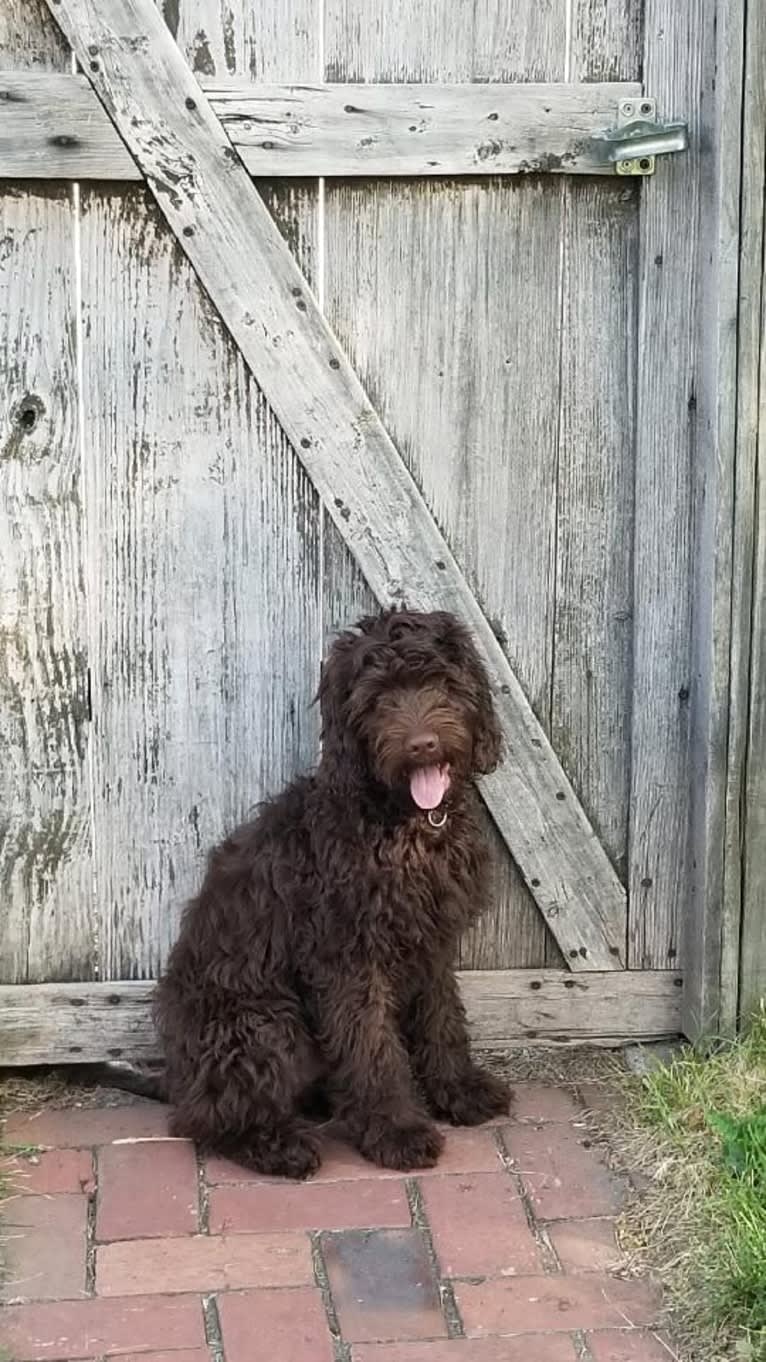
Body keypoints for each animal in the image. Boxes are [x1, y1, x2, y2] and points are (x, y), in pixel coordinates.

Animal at [151, 604, 509, 1171]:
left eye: (438, 681)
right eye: (378, 697)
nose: (422, 745)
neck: (401, 822)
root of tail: (176, 1077)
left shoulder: (432, 944)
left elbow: (442, 1019)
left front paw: (460, 1092)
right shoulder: (349, 957)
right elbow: (372, 1046)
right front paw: (397, 1129)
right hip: (265, 1022)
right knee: (209, 1118)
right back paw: (279, 1145)